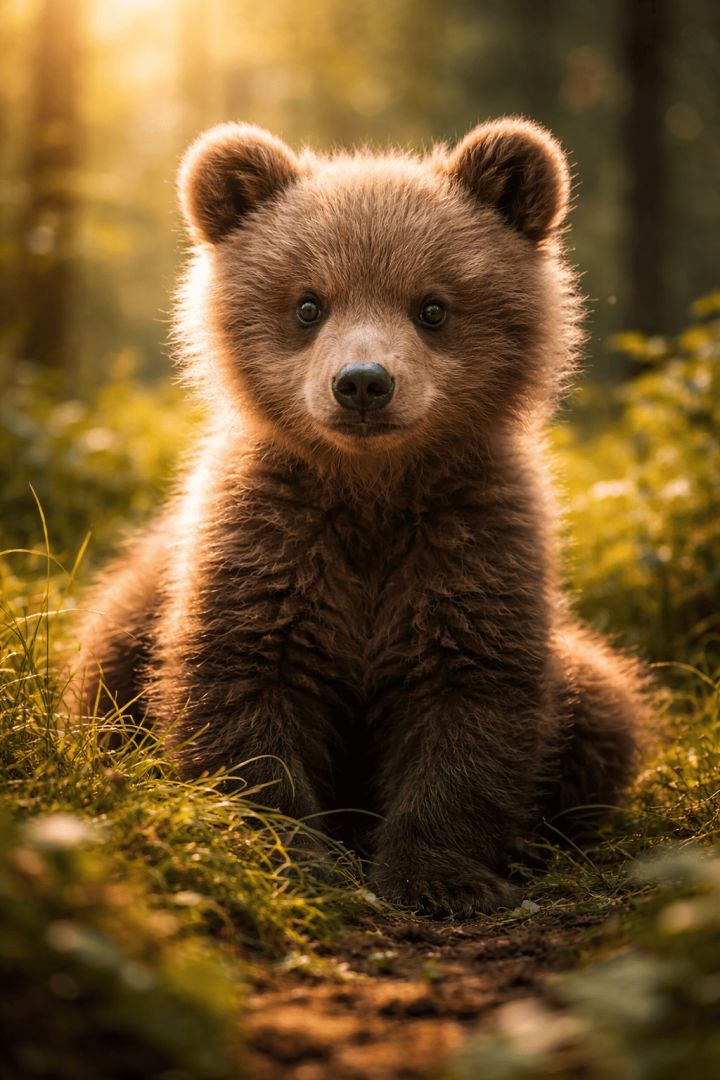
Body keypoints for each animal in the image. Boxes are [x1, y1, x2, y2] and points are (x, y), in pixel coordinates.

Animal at [78, 118, 646, 917]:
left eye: (432, 306)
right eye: (308, 304)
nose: (364, 383)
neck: (371, 495)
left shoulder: (467, 550)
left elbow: (468, 706)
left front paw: (437, 874)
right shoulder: (270, 548)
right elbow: (246, 697)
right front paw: (286, 855)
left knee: (604, 711)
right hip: (127, 620)